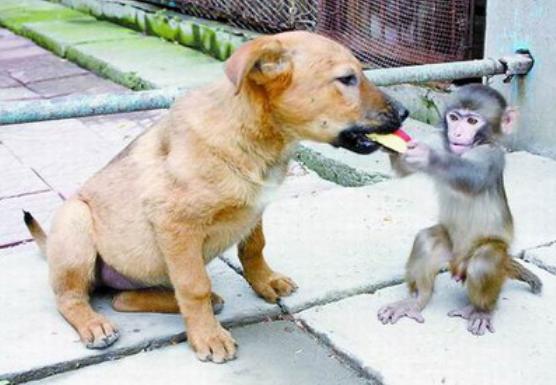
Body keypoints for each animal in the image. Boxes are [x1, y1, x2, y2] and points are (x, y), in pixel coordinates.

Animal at [23, 30, 408, 364]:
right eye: (347, 79)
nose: (405, 113)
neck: (256, 138)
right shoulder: (175, 225)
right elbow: (194, 285)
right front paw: (208, 336)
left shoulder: (255, 210)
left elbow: (254, 249)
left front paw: (265, 282)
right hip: (75, 224)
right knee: (70, 297)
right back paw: (94, 324)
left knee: (121, 298)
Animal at [376, 83, 540, 332]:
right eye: (454, 118)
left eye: (472, 121)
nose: (458, 133)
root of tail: (457, 265)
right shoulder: (440, 141)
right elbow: (404, 169)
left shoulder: (491, 155)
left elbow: (471, 178)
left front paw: (427, 156)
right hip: (450, 247)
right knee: (426, 241)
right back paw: (416, 301)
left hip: (492, 252)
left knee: (484, 260)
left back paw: (482, 310)